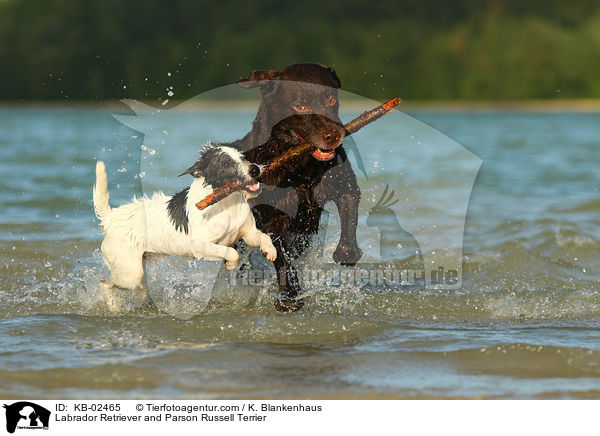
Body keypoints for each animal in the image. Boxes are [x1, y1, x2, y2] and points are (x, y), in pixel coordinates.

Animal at [92, 145, 278, 298]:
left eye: (242, 156)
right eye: (225, 163)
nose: (255, 169)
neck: (226, 204)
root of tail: (111, 217)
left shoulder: (248, 233)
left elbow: (263, 236)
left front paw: (270, 251)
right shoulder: (200, 246)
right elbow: (232, 252)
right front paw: (231, 265)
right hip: (130, 272)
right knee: (104, 284)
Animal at [230, 63, 360, 312]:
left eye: (331, 99)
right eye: (300, 105)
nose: (333, 135)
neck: (301, 166)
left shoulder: (344, 183)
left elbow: (350, 218)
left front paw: (347, 254)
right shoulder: (273, 217)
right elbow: (283, 257)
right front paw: (289, 296)